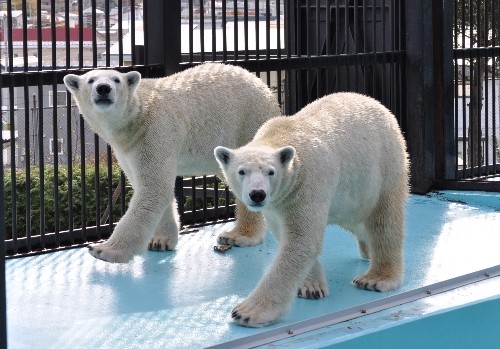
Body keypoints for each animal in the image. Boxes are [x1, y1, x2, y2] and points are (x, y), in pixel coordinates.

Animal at [63, 62, 282, 260]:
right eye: (91, 80)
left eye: (116, 80)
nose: (103, 88)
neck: (137, 115)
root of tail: (263, 86)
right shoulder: (127, 148)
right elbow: (153, 188)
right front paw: (160, 241)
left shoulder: (154, 131)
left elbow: (153, 189)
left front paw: (104, 249)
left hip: (248, 122)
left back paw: (240, 236)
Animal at [215, 92, 410, 326]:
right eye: (242, 171)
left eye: (270, 172)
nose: (257, 194)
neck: (282, 135)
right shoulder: (278, 203)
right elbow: (290, 236)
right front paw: (311, 287)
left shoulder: (307, 184)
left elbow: (301, 241)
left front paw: (248, 311)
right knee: (357, 221)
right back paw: (366, 248)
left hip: (385, 165)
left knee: (385, 221)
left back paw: (375, 278)